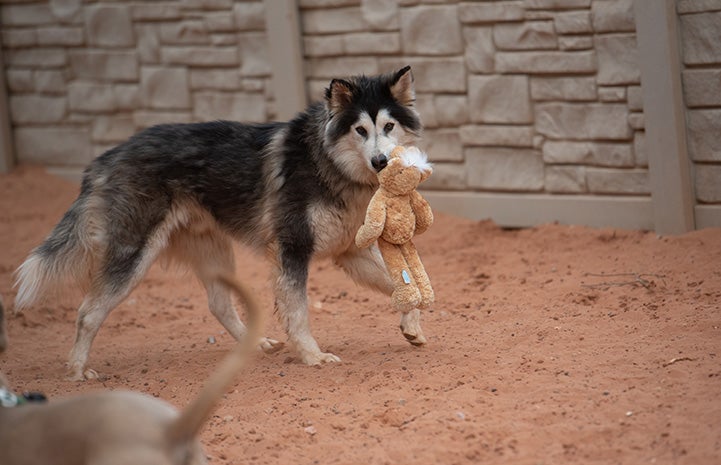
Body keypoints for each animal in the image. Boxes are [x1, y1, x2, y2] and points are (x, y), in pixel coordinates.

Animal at [14, 65, 428, 378]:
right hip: (134, 258)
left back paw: (255, 343)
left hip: (213, 250)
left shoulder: (348, 253)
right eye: (360, 130)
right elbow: (297, 311)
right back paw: (77, 370)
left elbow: (401, 286)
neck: (326, 161)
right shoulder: (292, 250)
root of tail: (107, 157)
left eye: (389, 127)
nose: (381, 162)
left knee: (218, 304)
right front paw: (312, 356)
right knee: (88, 311)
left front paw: (411, 326)